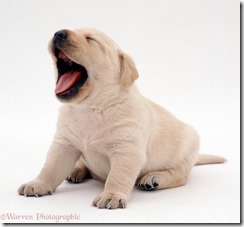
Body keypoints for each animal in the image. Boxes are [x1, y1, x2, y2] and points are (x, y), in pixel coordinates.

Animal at [18, 27, 226, 209]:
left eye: (91, 39)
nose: (58, 33)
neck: (91, 107)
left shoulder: (127, 150)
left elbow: (118, 175)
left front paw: (111, 195)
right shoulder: (64, 144)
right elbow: (51, 167)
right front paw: (38, 183)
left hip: (189, 147)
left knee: (180, 174)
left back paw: (155, 179)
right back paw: (76, 169)